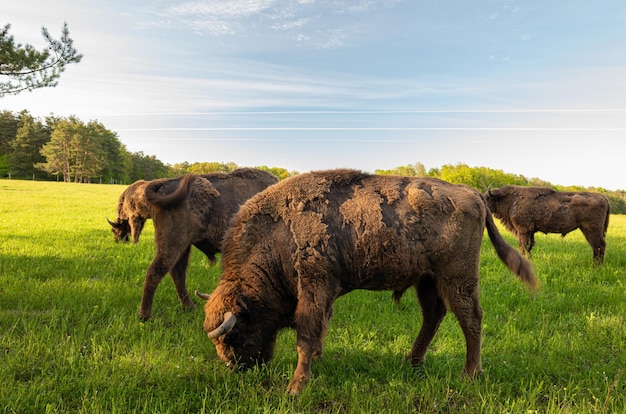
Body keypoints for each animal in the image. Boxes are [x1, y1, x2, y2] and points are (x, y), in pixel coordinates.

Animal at [143, 168, 280, 320]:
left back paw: (190, 307)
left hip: (184, 246)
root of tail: (165, 183)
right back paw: (146, 316)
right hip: (173, 243)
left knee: (177, 273)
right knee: (155, 272)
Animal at [197, 169, 532, 394]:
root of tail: (472, 194)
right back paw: (411, 360)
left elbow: (306, 334)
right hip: (427, 279)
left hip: (456, 276)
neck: (278, 234)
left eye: (234, 335)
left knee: (470, 317)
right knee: (434, 315)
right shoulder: (327, 290)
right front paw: (317, 361)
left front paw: (295, 387)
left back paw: (469, 374)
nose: (237, 368)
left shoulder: (313, 286)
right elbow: (321, 327)